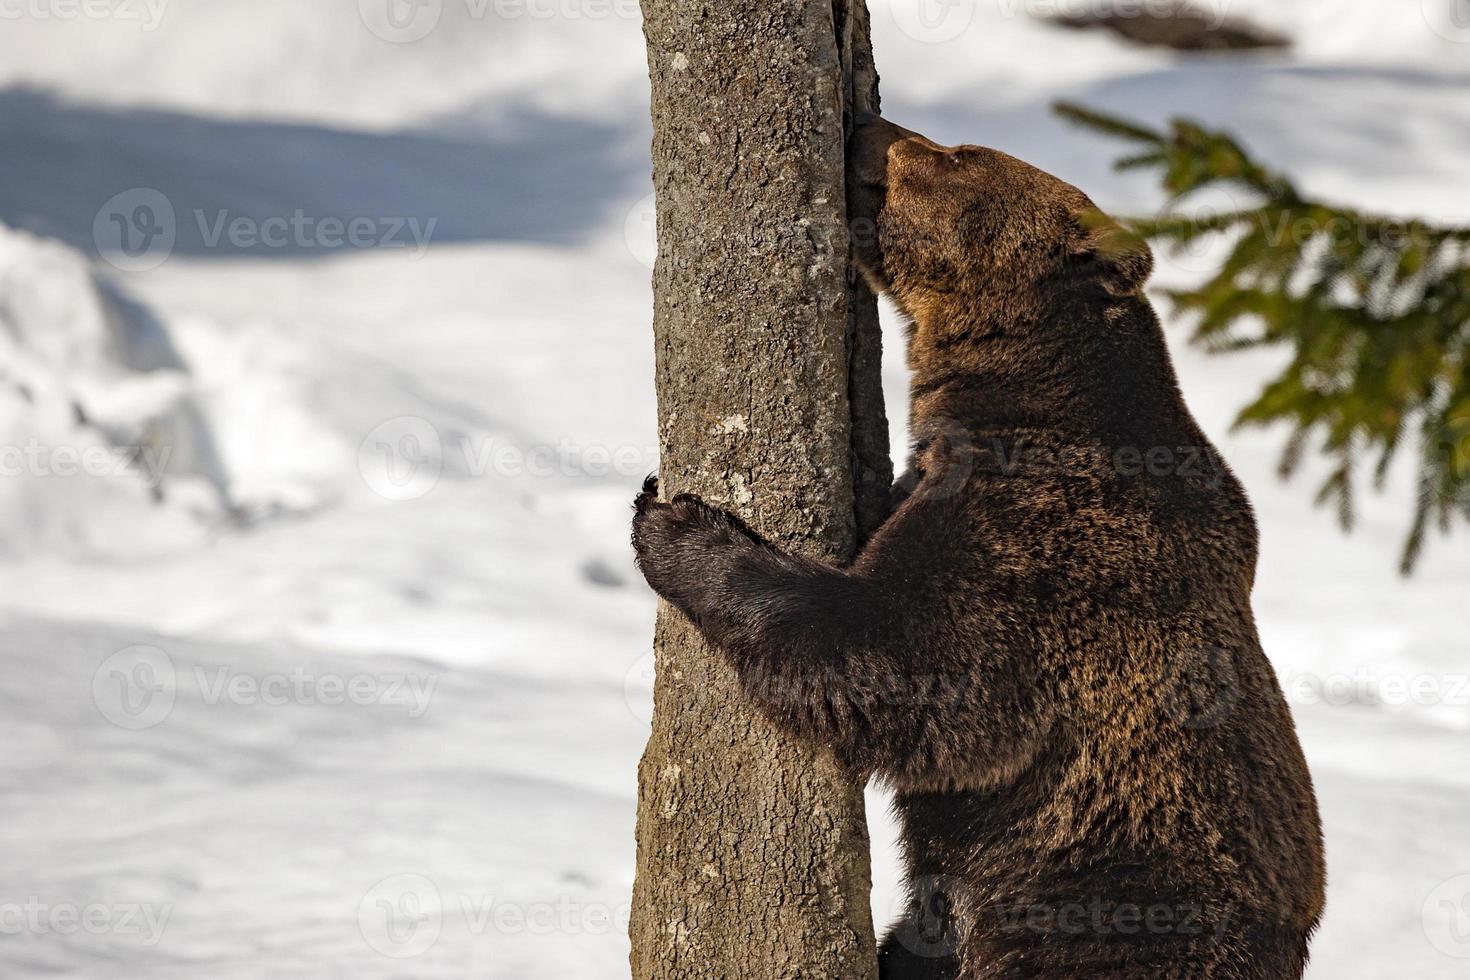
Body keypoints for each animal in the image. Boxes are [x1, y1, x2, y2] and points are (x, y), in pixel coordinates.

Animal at [626, 115, 1328, 980]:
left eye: (959, 155)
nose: (868, 124)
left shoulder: (1046, 548)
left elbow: (905, 661)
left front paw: (674, 524)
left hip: (1097, 912)